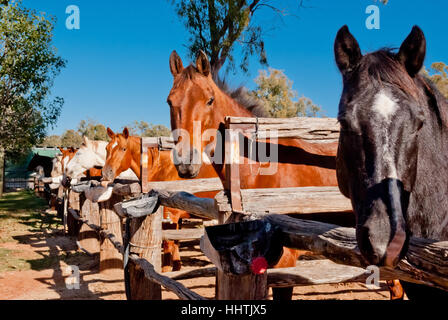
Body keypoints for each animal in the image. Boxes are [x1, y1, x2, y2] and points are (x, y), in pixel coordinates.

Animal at [102, 127, 220, 272]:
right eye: (107, 148)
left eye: (123, 148)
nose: (106, 173)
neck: (162, 169)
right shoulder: (176, 218)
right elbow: (175, 242)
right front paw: (177, 267)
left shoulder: (171, 216)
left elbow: (168, 243)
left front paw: (166, 271)